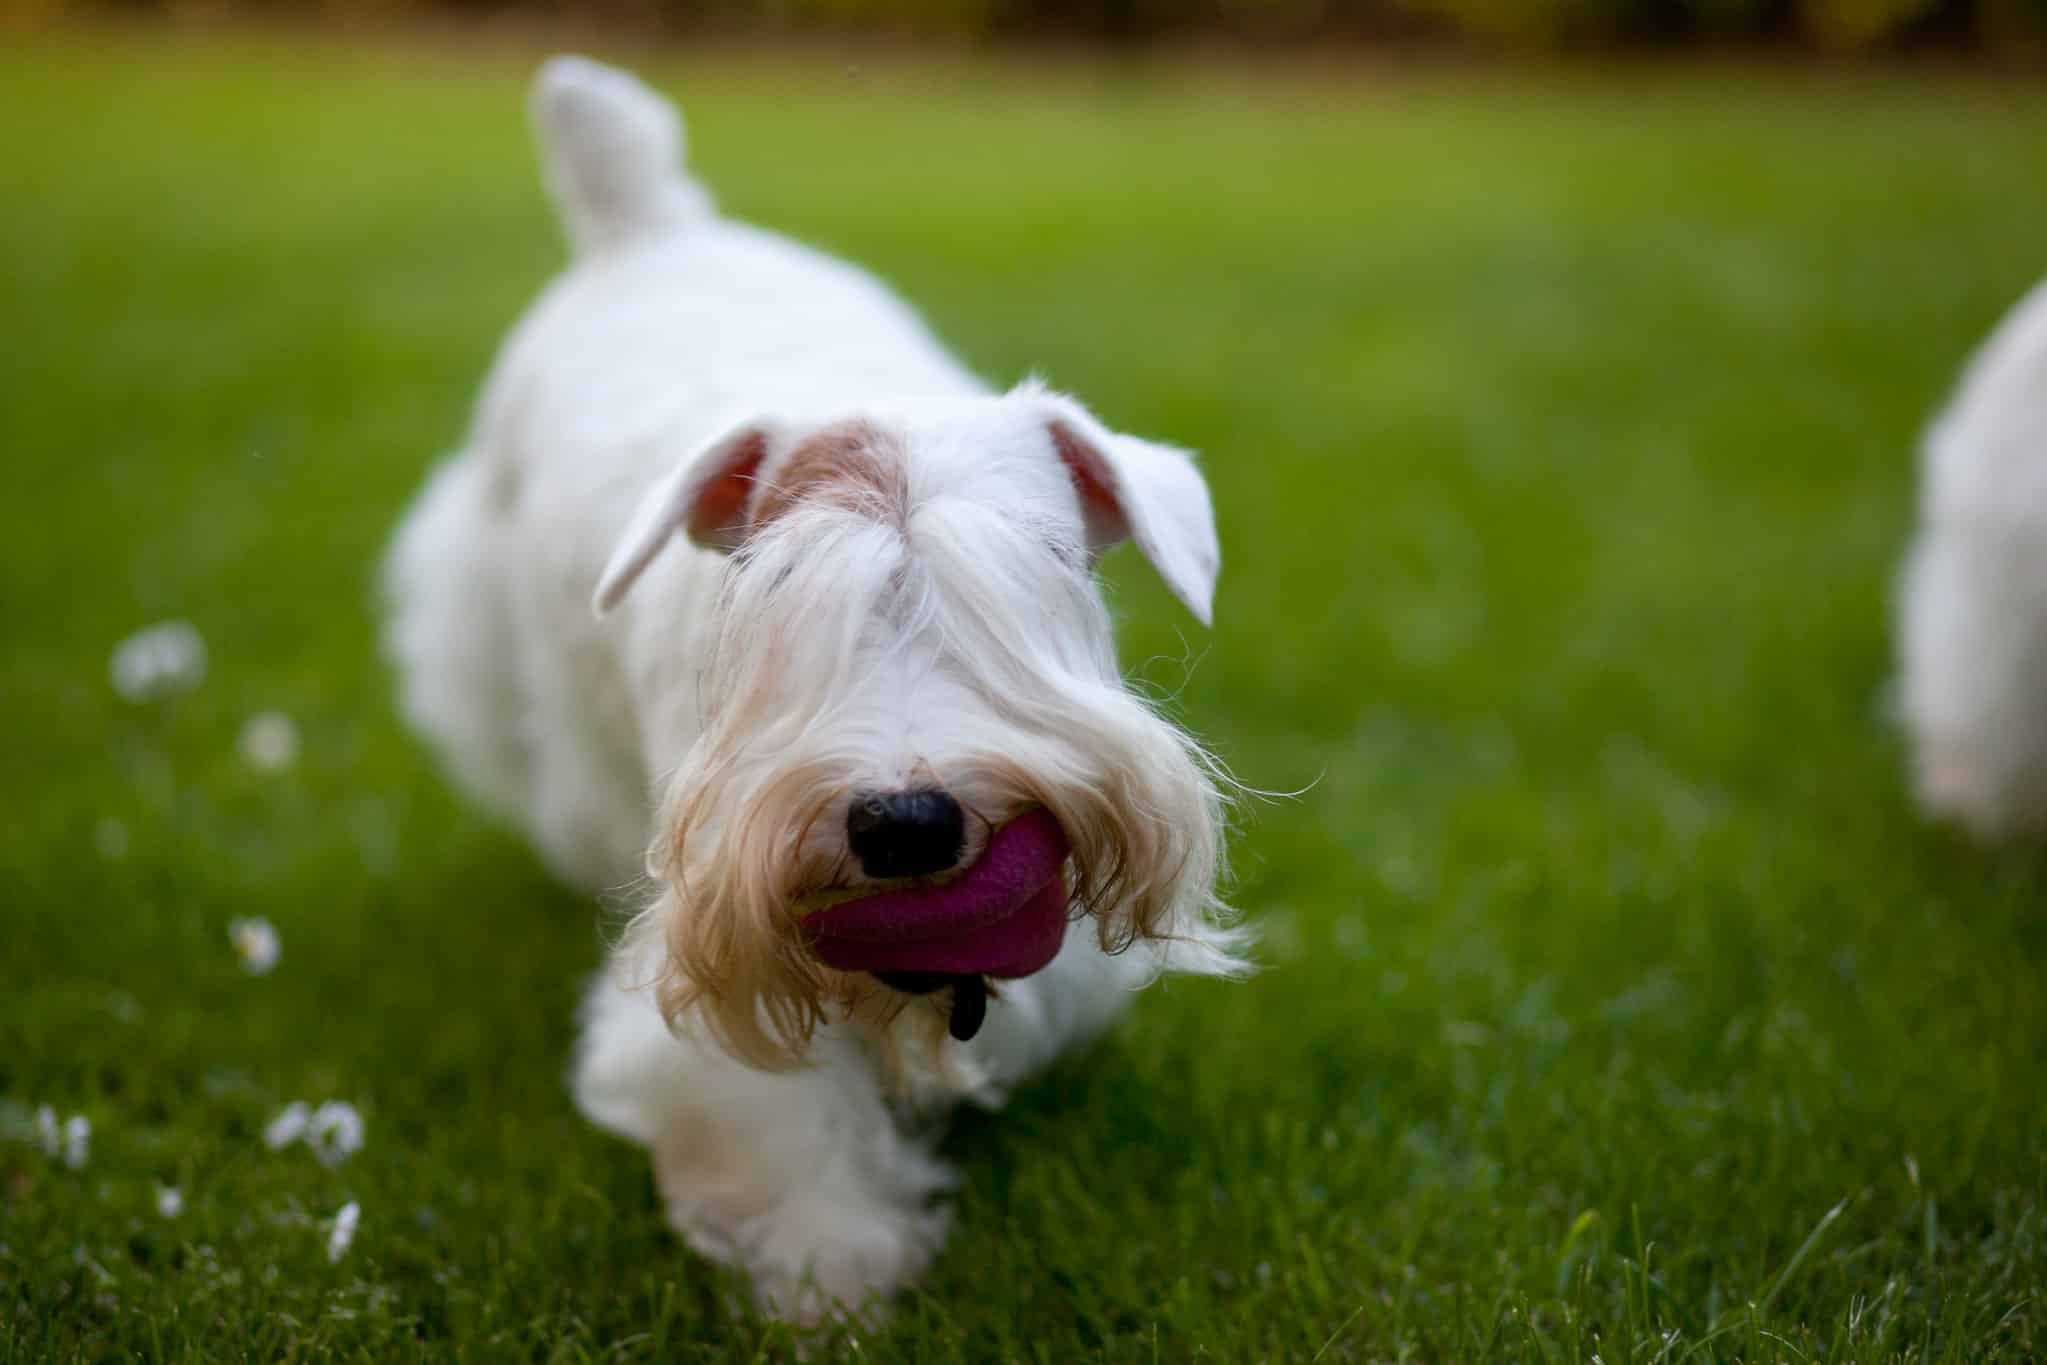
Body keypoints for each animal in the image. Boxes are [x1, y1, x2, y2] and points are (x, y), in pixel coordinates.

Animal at [384, 56, 1244, 1326]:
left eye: (1040, 567)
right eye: (779, 586)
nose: (907, 823)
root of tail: (651, 226)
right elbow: (780, 1124)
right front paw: (829, 1275)